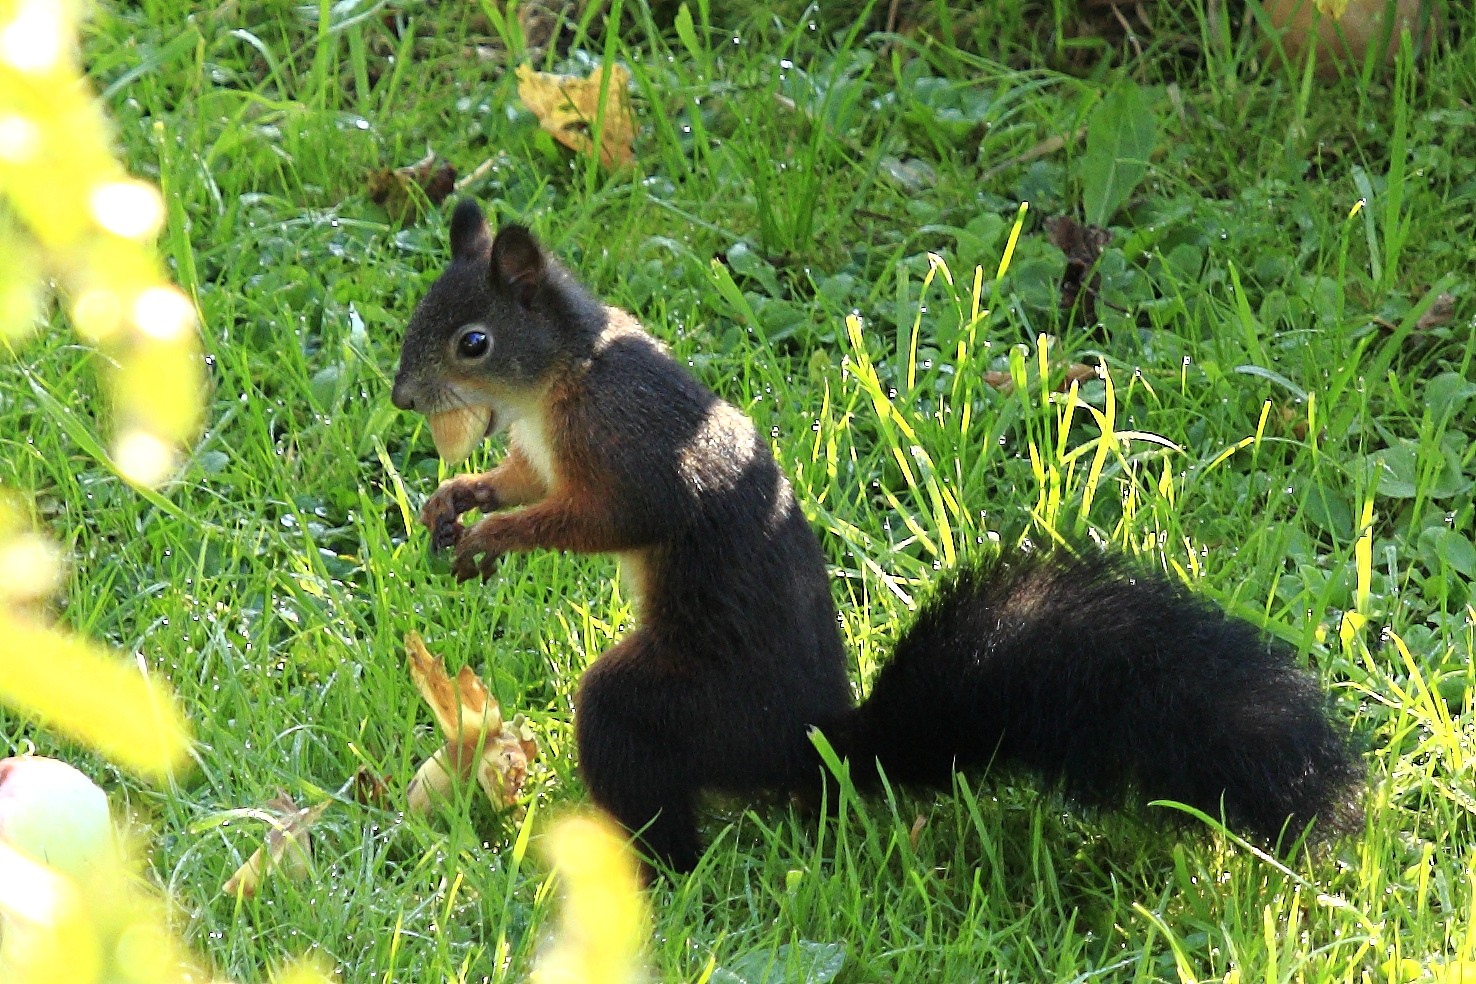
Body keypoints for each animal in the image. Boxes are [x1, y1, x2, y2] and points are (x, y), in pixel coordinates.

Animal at [389, 197, 1357, 867]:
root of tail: (811, 750)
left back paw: (639, 867)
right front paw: (458, 498)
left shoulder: (625, 442)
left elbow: (608, 517)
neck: (562, 375)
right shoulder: (541, 449)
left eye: (473, 341)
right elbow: (522, 479)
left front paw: (495, 536)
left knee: (645, 768)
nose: (401, 398)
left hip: (679, 702)